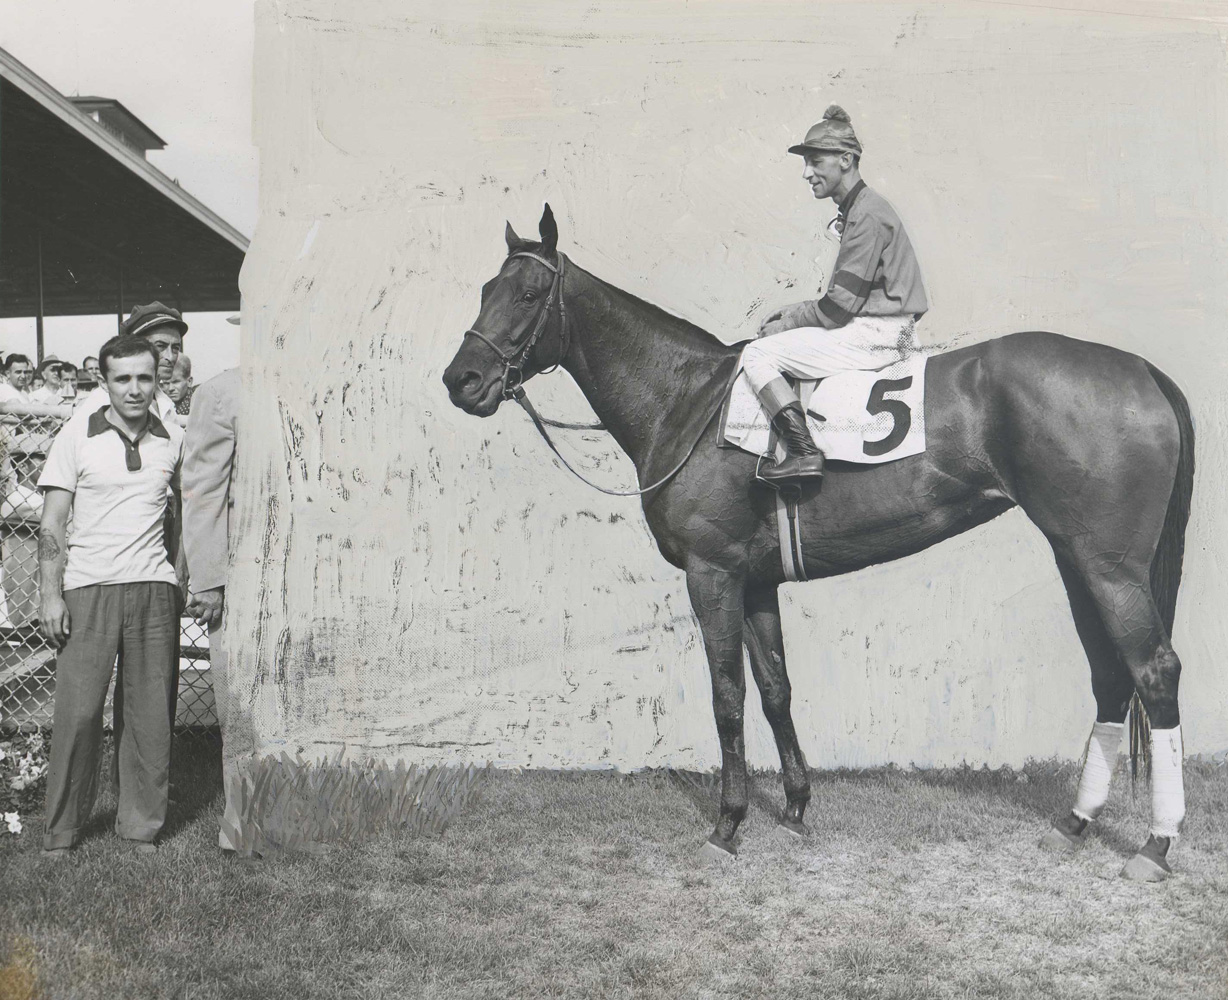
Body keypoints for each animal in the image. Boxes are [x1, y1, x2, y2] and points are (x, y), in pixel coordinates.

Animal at [446, 205, 1193, 884]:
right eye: (485, 289)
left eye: (530, 293)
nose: (462, 381)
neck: (688, 403)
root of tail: (1142, 370)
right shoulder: (755, 581)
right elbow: (776, 688)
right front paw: (796, 808)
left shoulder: (711, 573)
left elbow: (726, 697)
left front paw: (728, 824)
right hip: (1076, 558)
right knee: (1109, 675)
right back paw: (1076, 823)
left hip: (1110, 566)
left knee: (1155, 672)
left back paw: (1156, 846)